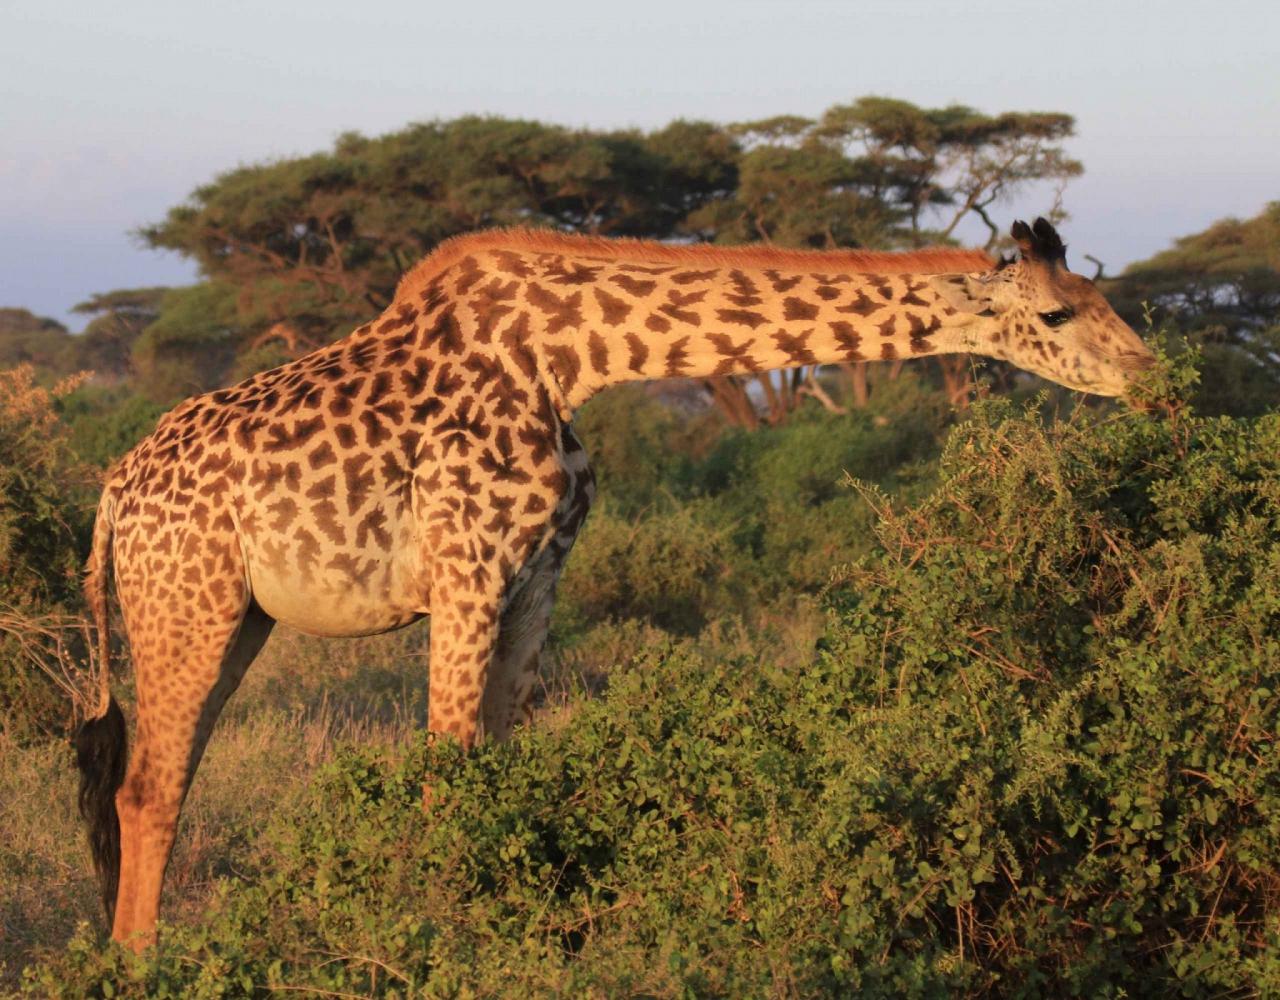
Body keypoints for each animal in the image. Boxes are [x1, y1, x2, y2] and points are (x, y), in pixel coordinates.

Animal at [74, 215, 1157, 947]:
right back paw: (140, 965)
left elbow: (495, 769)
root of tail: (114, 490)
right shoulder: (466, 572)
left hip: (236, 618)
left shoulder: (536, 579)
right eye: (1058, 309)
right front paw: (435, 932)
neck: (570, 356)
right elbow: (440, 777)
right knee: (148, 787)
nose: (1150, 377)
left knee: (161, 780)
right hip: (184, 605)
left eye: (1100, 295)